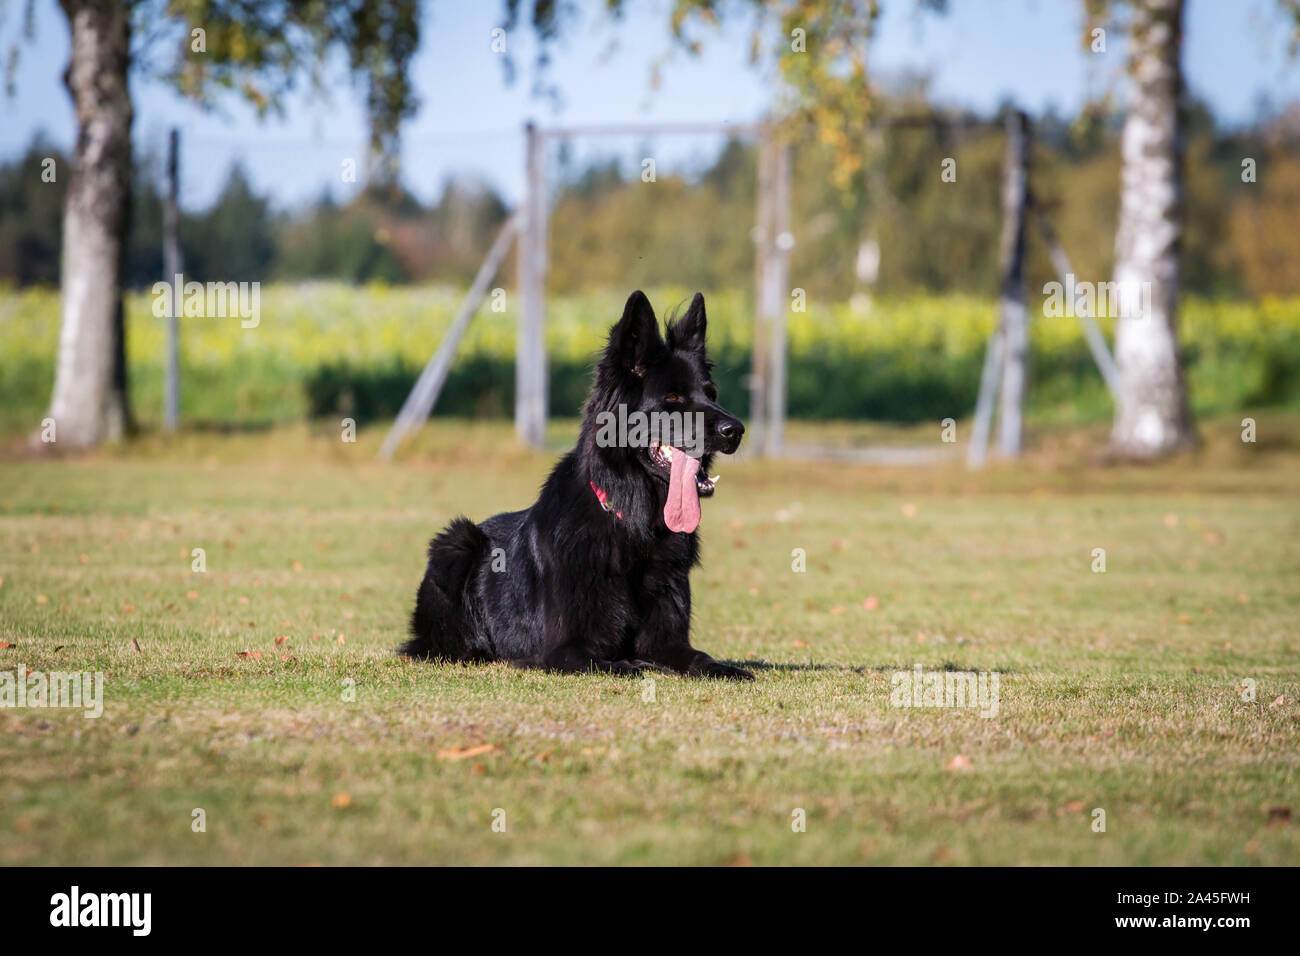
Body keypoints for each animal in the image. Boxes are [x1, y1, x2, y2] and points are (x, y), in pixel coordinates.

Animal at [400, 291, 759, 681]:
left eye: (711, 394)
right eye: (674, 399)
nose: (736, 431)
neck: (634, 526)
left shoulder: (669, 642)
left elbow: (700, 659)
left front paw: (724, 668)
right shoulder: (564, 651)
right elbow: (617, 664)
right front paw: (636, 663)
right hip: (455, 541)